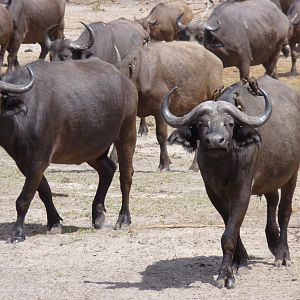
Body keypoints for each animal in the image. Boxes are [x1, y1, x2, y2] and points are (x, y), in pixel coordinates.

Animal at [0, 56, 137, 244]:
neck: (19, 118)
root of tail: (127, 82)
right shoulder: (23, 162)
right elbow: (44, 190)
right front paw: (54, 222)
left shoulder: (38, 160)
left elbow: (24, 198)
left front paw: (17, 233)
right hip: (90, 147)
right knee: (108, 169)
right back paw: (98, 215)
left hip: (127, 133)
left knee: (126, 176)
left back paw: (123, 220)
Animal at [120, 41, 223, 171]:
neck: (140, 74)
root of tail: (217, 60)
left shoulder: (159, 111)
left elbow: (161, 136)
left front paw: (164, 164)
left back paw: (195, 166)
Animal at [163, 76, 300, 290]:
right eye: (202, 124)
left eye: (229, 124)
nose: (215, 141)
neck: (224, 164)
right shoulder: (214, 193)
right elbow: (231, 226)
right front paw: (239, 261)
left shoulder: (242, 191)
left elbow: (229, 235)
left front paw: (225, 274)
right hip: (270, 177)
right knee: (272, 200)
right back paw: (273, 240)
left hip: (292, 174)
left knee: (284, 211)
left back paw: (282, 254)